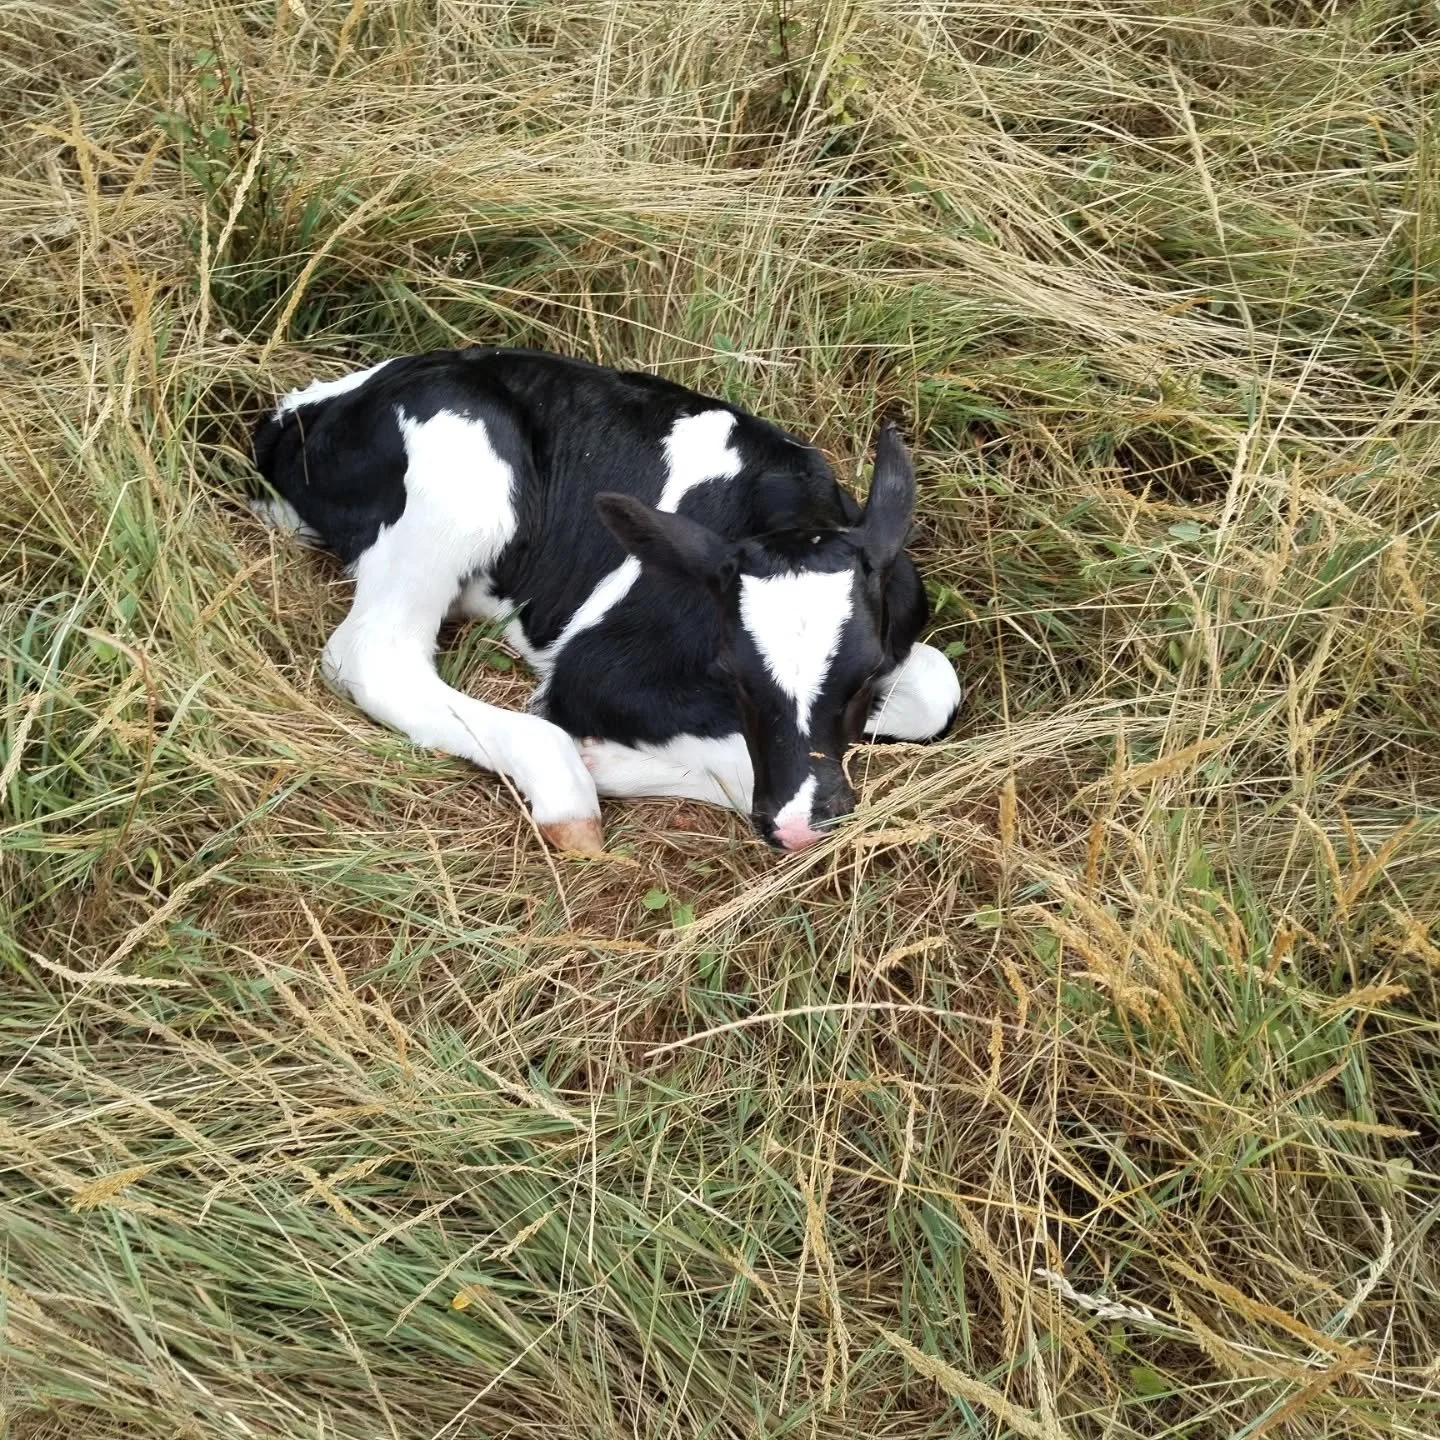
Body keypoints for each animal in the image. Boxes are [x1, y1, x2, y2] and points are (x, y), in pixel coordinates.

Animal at [250, 348, 961, 854]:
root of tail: (296, 413)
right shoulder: (595, 669)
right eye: (735, 674)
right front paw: (605, 757)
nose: (800, 825)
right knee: (374, 655)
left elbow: (937, 690)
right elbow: (735, 761)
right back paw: (565, 786)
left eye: (864, 674)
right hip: (467, 472)